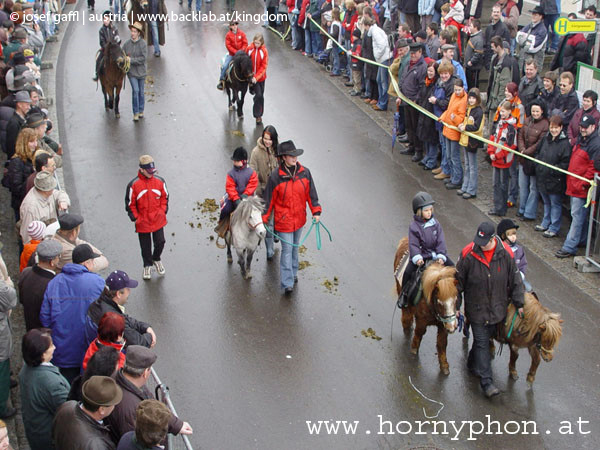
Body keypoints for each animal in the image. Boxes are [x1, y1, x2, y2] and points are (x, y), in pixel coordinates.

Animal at [394, 237, 460, 374]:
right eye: (440, 302)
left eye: (456, 299)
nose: (452, 328)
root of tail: (405, 240)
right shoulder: (422, 321)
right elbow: (419, 334)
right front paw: (413, 351)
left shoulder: (443, 324)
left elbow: (442, 343)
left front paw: (444, 366)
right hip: (400, 291)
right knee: (406, 314)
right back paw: (407, 326)